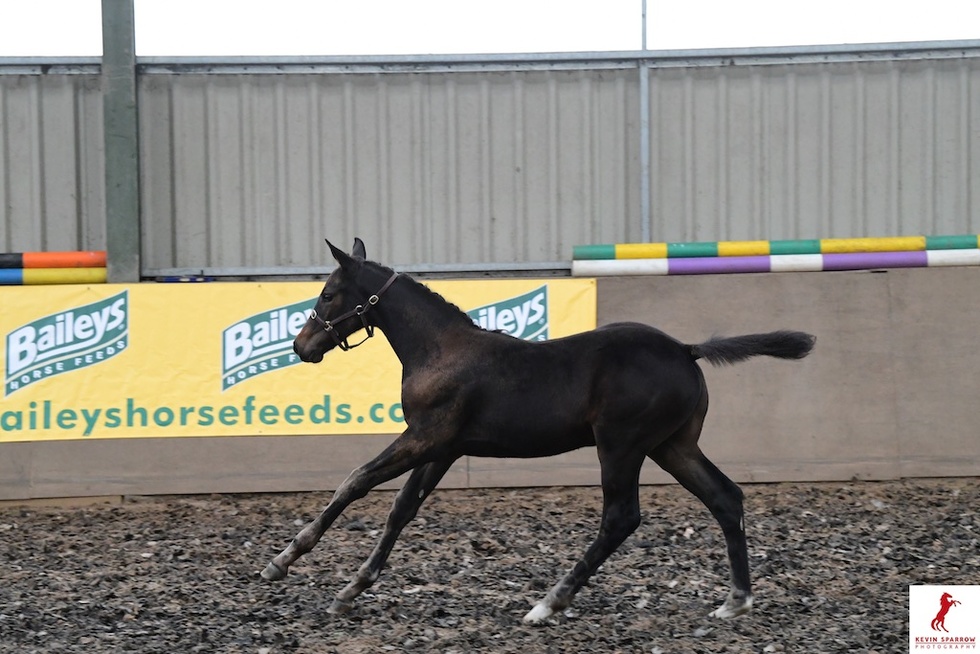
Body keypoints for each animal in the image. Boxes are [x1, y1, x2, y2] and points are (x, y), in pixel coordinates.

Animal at [261, 238, 815, 623]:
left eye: (328, 294)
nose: (301, 347)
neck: (440, 350)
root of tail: (685, 349)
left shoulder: (424, 437)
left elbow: (355, 481)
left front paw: (282, 560)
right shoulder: (442, 447)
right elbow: (401, 509)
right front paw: (350, 590)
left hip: (622, 445)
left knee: (621, 517)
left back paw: (548, 603)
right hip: (672, 446)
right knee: (724, 497)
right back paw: (735, 601)